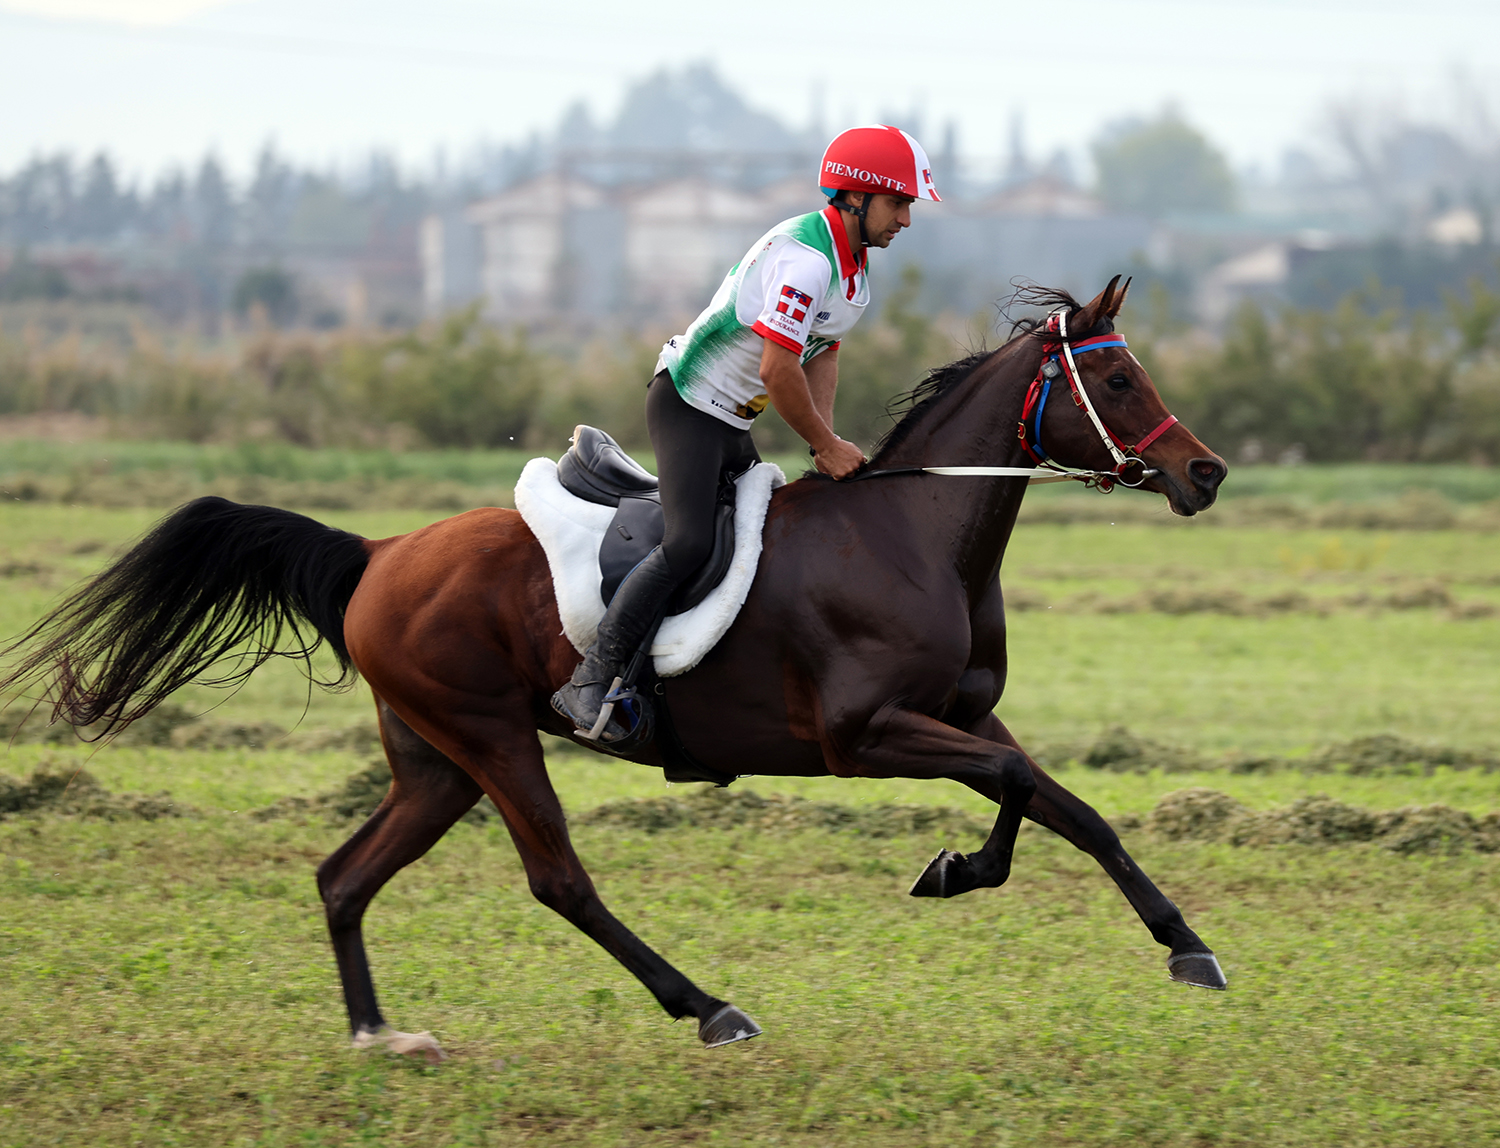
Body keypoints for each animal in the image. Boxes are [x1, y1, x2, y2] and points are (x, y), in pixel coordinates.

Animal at [2, 276, 1230, 1056]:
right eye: (1120, 383)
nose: (1205, 472)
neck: (913, 532)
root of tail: (378, 553)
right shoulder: (865, 734)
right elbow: (1025, 791)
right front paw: (966, 871)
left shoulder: (964, 718)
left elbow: (1064, 806)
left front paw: (1178, 943)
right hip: (494, 737)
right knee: (560, 880)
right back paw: (708, 1005)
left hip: (434, 761)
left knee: (344, 877)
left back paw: (377, 1033)